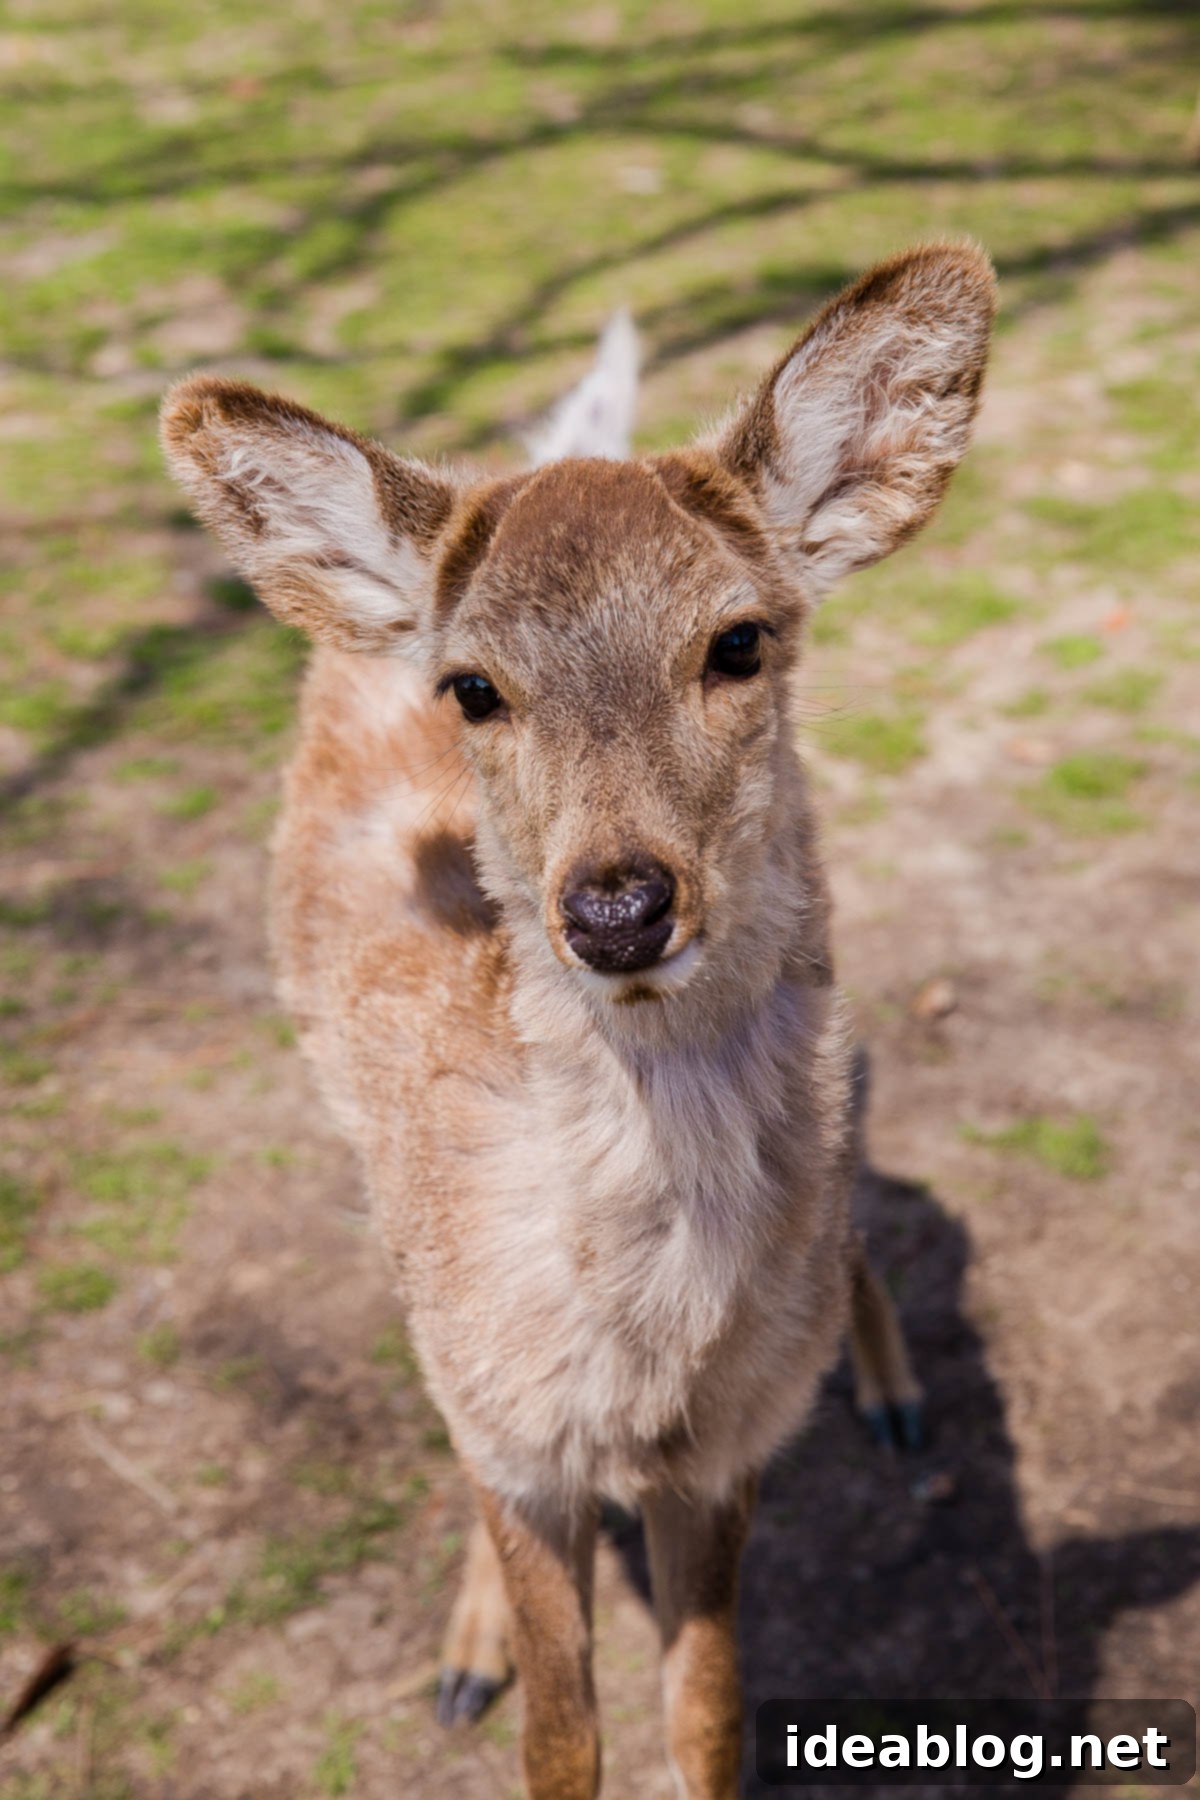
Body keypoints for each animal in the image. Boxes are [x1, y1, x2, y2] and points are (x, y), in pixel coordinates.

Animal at [161, 241, 996, 1800]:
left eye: (740, 640)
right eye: (475, 687)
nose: (616, 906)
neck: (643, 1354)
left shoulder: (722, 1454)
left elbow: (708, 1717)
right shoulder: (512, 1430)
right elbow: (563, 1735)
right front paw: (495, 1661)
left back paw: (893, 1393)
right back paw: (464, 1650)